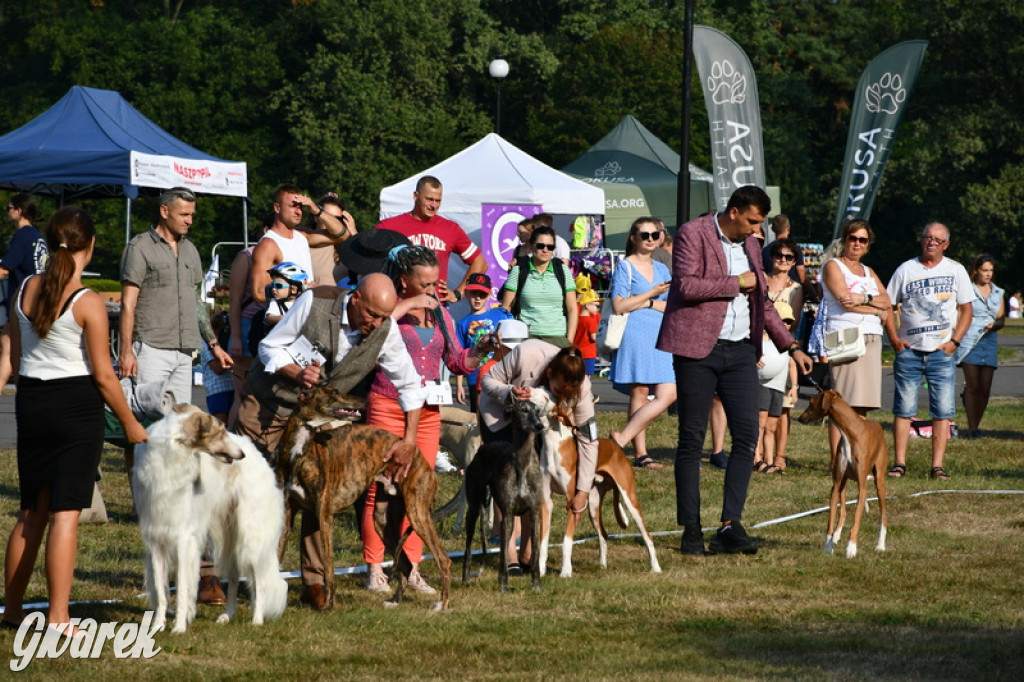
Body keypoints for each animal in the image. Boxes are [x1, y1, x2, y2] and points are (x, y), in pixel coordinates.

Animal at [131, 403, 288, 630]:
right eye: (220, 433)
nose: (241, 454)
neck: (171, 455)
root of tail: (257, 452)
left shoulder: (184, 537)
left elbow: (182, 588)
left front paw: (179, 627)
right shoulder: (156, 539)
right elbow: (161, 592)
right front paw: (158, 626)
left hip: (250, 535)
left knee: (260, 580)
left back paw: (257, 620)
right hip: (226, 535)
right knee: (234, 576)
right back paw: (227, 615)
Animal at [278, 382, 450, 610]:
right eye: (333, 392)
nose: (365, 400)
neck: (300, 451)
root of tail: (422, 460)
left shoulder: (324, 516)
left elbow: (329, 568)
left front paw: (329, 606)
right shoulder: (287, 515)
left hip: (418, 514)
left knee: (443, 560)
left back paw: (442, 605)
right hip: (382, 521)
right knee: (405, 564)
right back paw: (394, 602)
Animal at [528, 387, 663, 573]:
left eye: (546, 396)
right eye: (539, 388)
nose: (526, 390)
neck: (554, 446)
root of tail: (616, 447)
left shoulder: (573, 502)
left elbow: (566, 541)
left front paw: (566, 571)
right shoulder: (546, 502)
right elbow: (543, 543)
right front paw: (540, 571)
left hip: (629, 500)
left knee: (647, 536)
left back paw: (656, 567)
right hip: (592, 504)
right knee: (603, 535)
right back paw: (602, 566)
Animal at [794, 387, 884, 557]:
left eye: (811, 402)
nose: (800, 419)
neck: (849, 433)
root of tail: (878, 425)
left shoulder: (862, 487)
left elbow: (856, 519)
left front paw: (851, 548)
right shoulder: (835, 485)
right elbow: (831, 517)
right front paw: (828, 545)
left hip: (879, 482)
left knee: (884, 515)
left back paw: (881, 545)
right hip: (844, 483)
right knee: (842, 511)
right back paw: (836, 536)